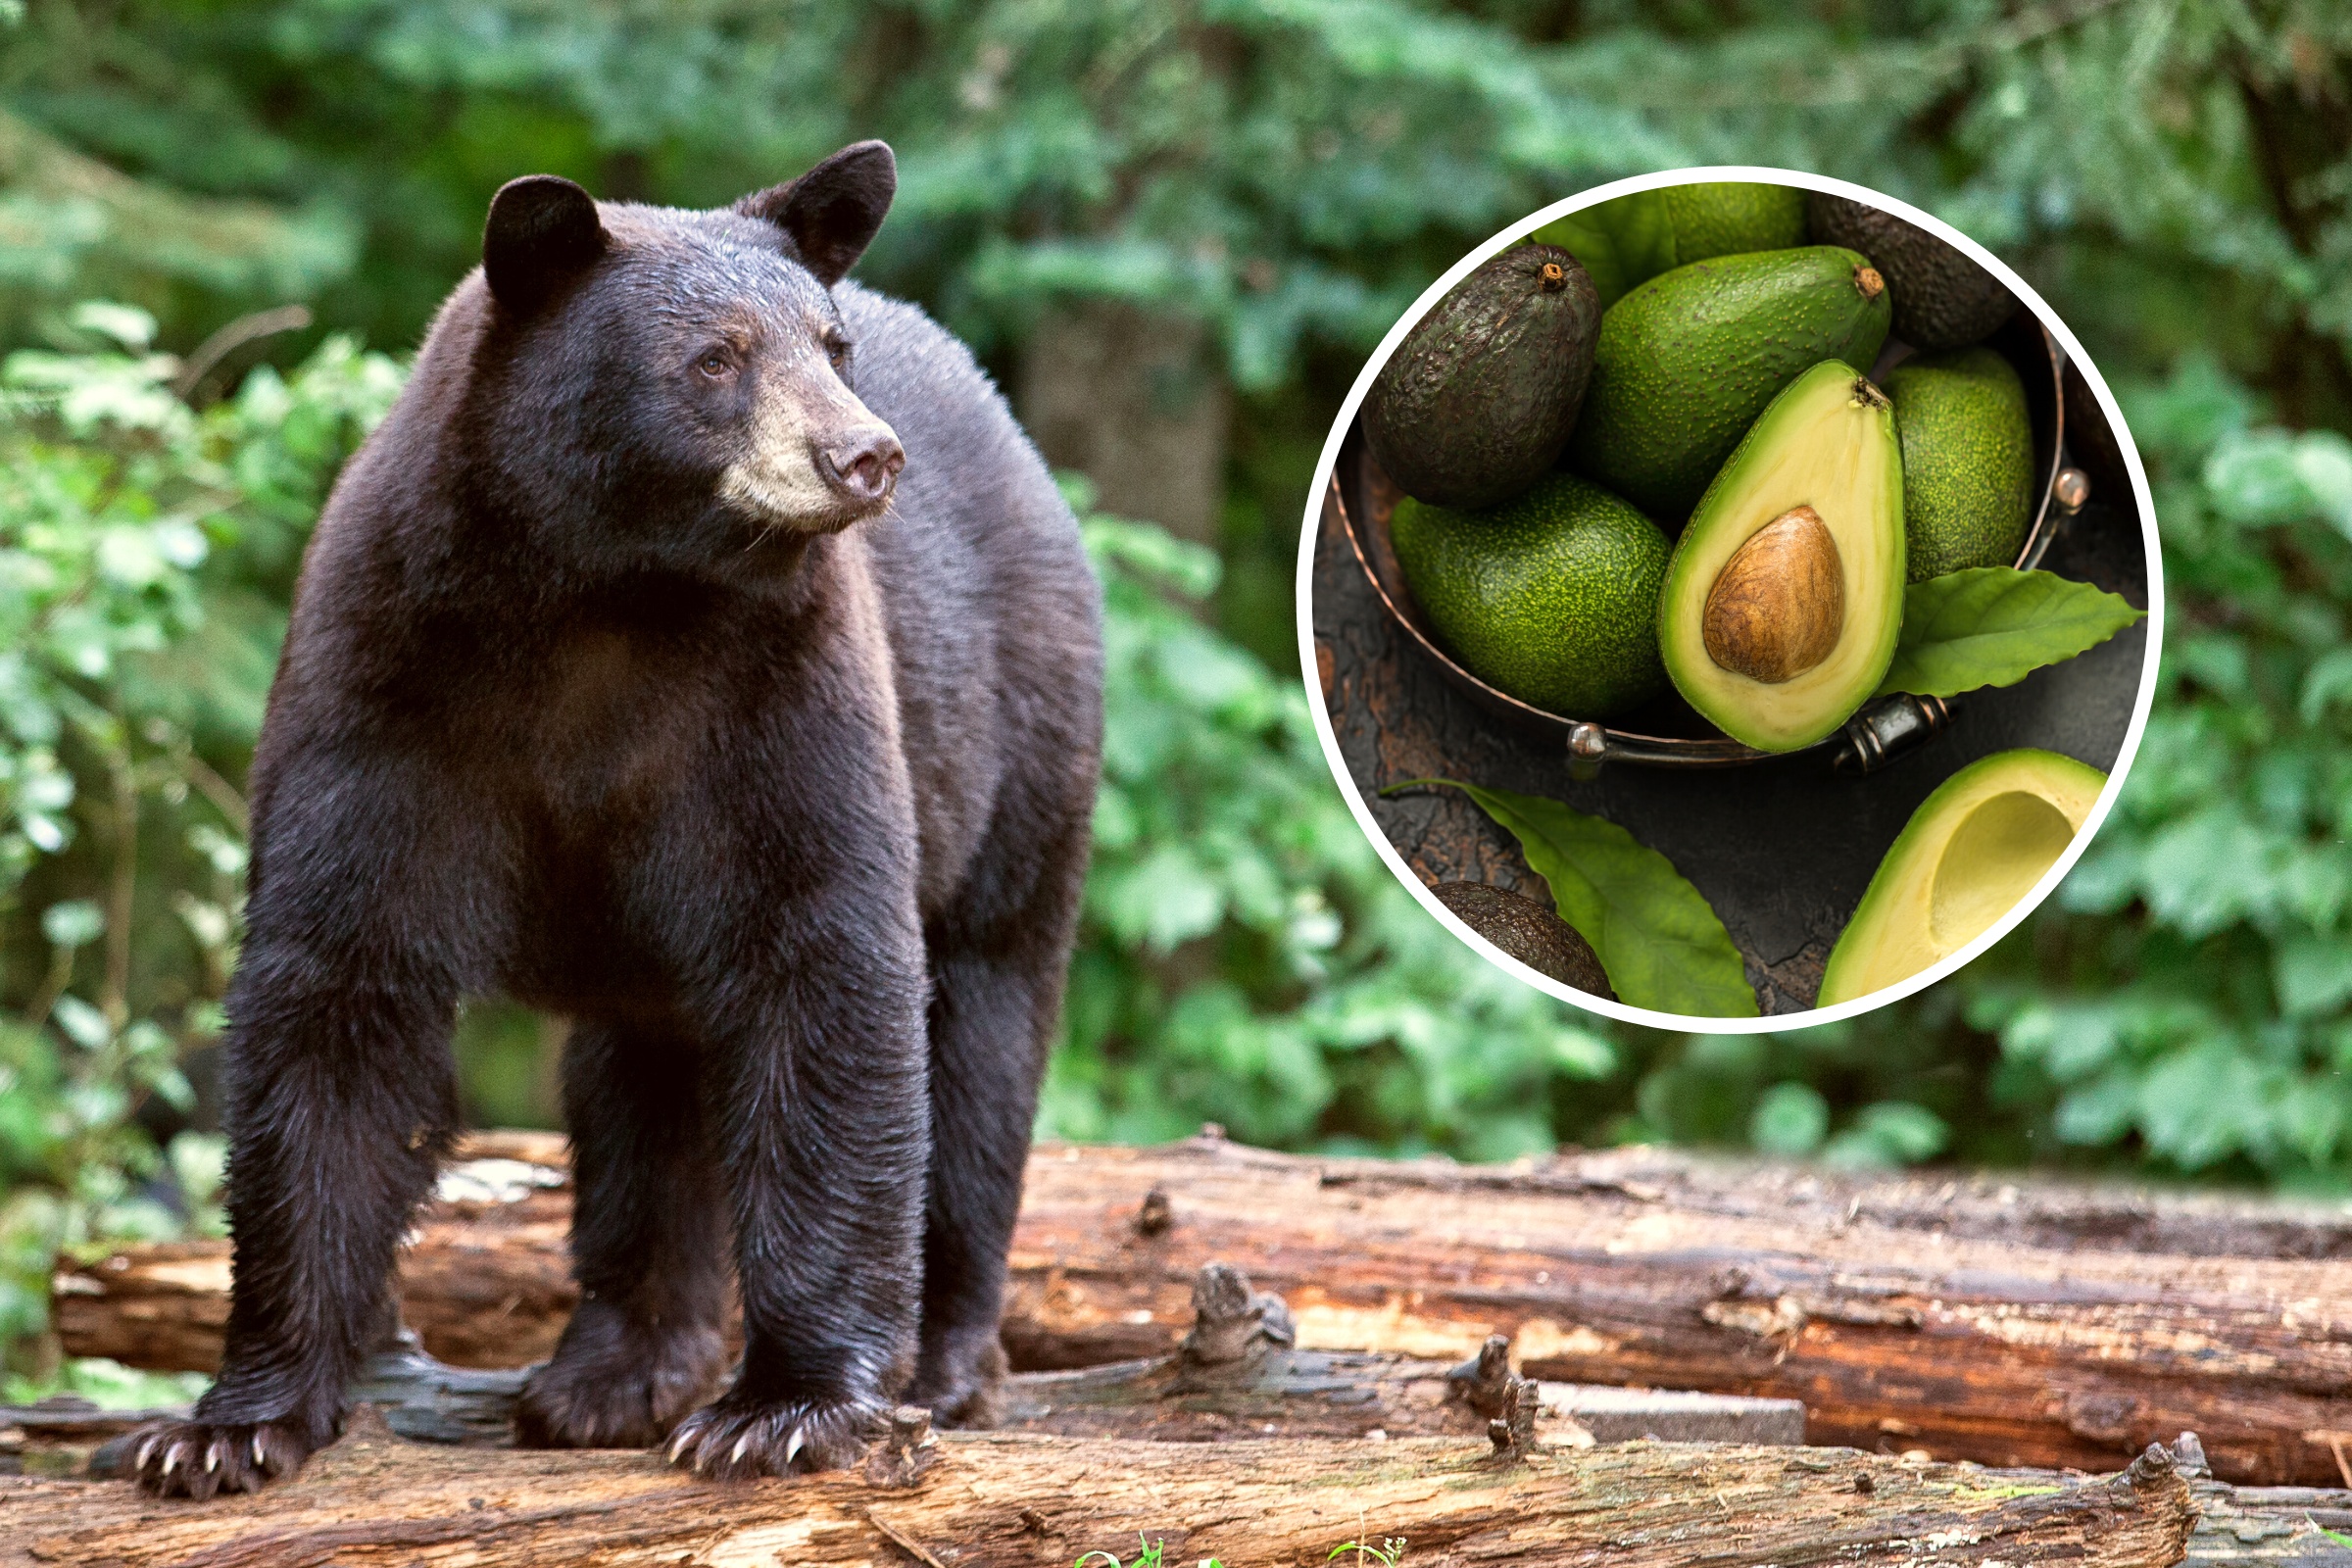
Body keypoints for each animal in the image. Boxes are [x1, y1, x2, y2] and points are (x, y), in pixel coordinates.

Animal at [129, 140, 1105, 1496]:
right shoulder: (385, 680)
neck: (610, 595)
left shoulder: (781, 695)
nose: (865, 456)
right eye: (716, 358)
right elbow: (337, 989)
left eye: (830, 342)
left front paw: (787, 1407)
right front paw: (227, 1424)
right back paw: (614, 1370)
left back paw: (948, 1360)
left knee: (984, 1030)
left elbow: (827, 963)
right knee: (644, 1081)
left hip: (1019, 746)